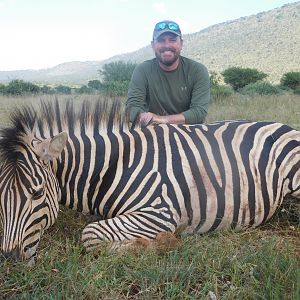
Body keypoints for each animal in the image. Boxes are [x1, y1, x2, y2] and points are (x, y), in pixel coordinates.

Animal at [0, 99, 298, 262]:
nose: (10, 259)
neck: (114, 165)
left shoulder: (159, 211)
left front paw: (160, 244)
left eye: (37, 193)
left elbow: (90, 235)